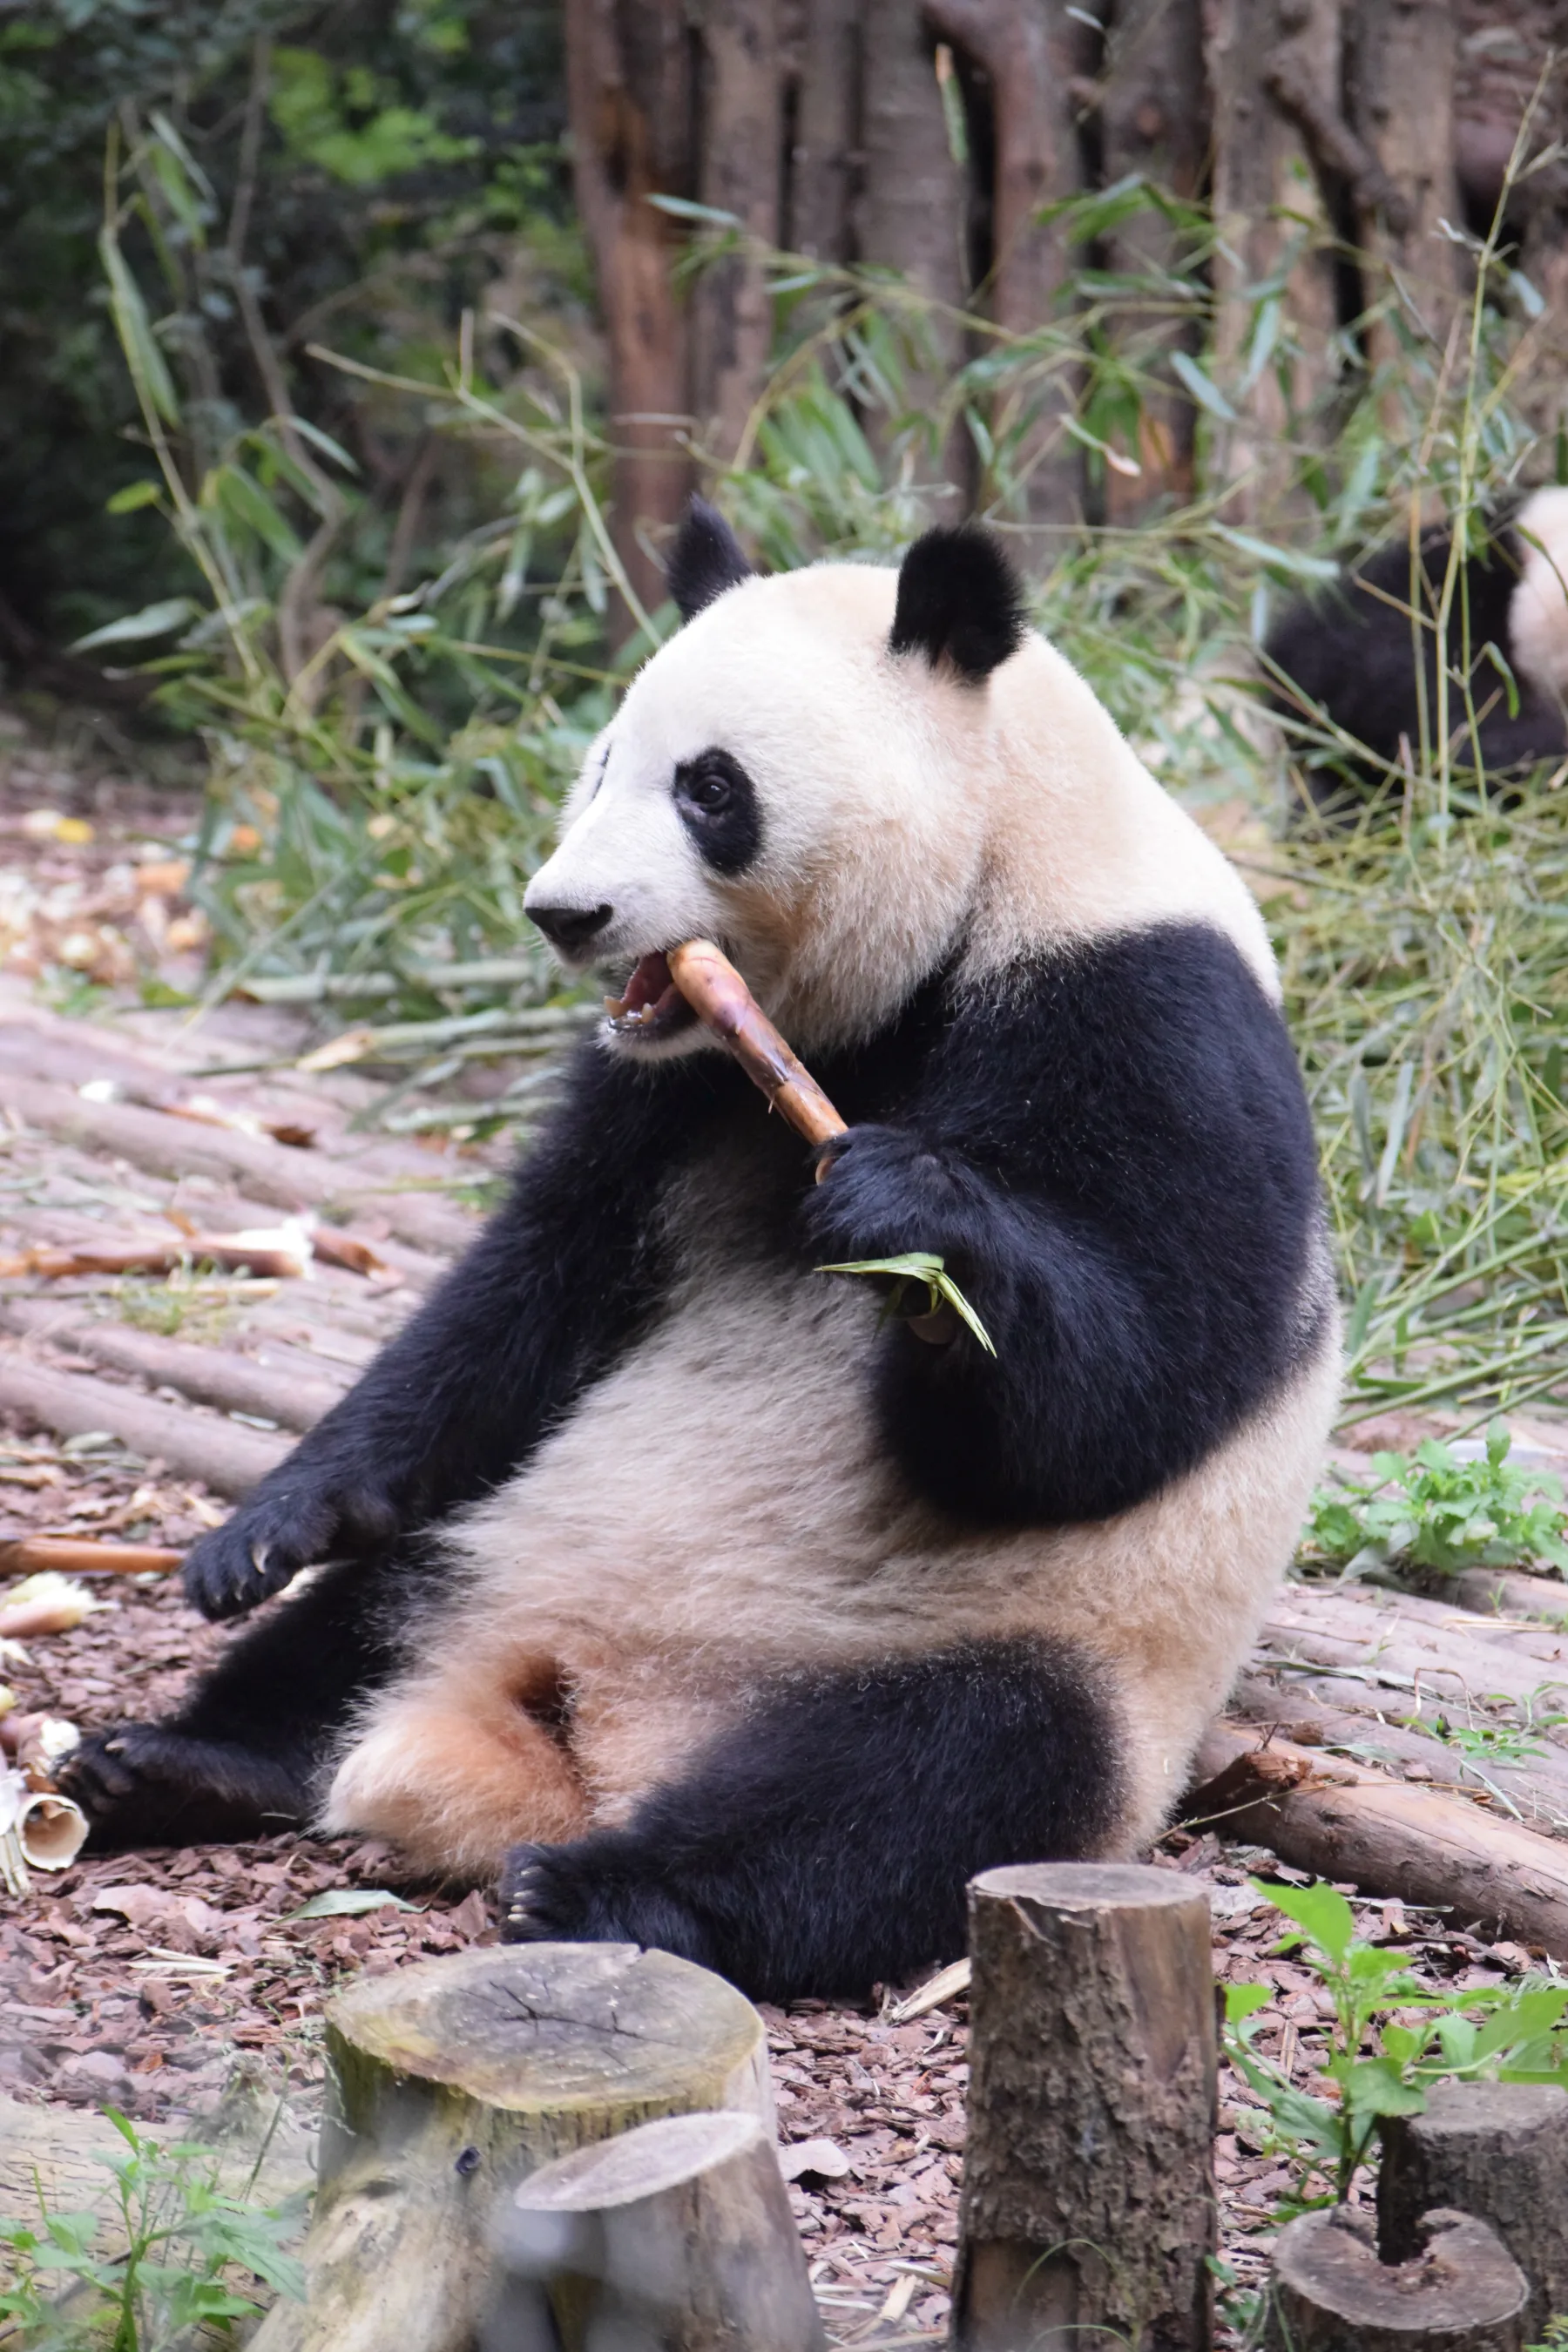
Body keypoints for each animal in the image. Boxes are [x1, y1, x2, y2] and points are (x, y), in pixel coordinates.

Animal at [62, 505, 1341, 2002]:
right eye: (604, 763)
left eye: (710, 788)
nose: (563, 912)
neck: (987, 881)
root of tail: (602, 1736)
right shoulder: (666, 1092)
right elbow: (527, 1292)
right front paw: (266, 1528)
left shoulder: (1148, 1011)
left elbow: (1129, 1393)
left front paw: (911, 1215)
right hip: (512, 1541)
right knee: (367, 1616)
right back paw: (177, 1762)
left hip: (1021, 1651)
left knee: (925, 1781)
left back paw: (602, 1887)